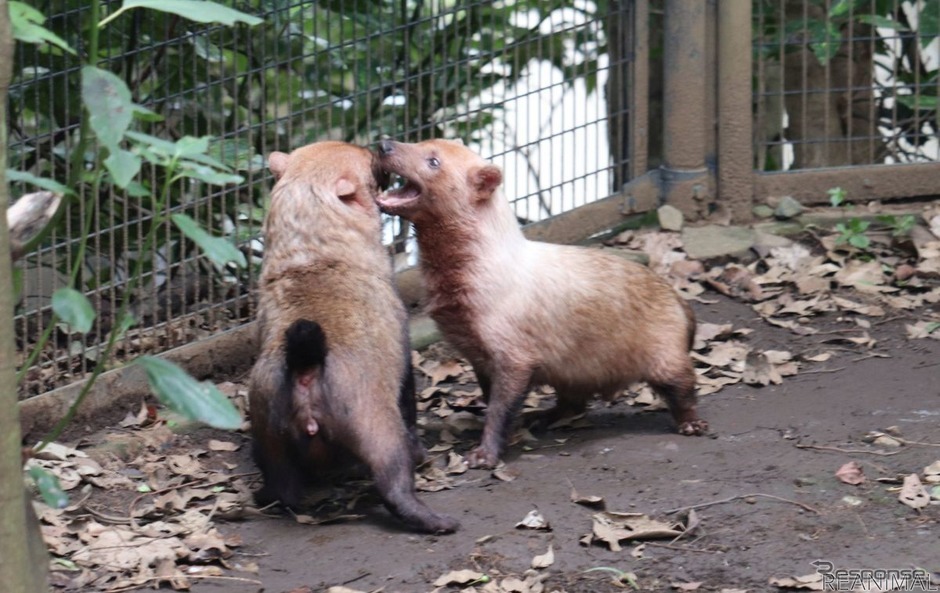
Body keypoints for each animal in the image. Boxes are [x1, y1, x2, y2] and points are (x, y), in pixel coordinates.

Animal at [248, 141, 458, 536]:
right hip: (381, 435)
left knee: (282, 490)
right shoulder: (403, 349)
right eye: (366, 160)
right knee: (395, 484)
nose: (379, 145)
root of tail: (305, 367)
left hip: (269, 435)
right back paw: (433, 519)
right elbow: (410, 403)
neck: (313, 256)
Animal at [374, 138, 704, 468]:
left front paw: (484, 455)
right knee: (574, 404)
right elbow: (493, 399)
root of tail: (681, 303)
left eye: (434, 161)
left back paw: (692, 424)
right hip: (573, 372)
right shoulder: (480, 357)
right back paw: (542, 417)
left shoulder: (515, 357)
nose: (385, 143)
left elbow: (500, 408)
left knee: (684, 386)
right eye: (420, 143)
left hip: (666, 360)